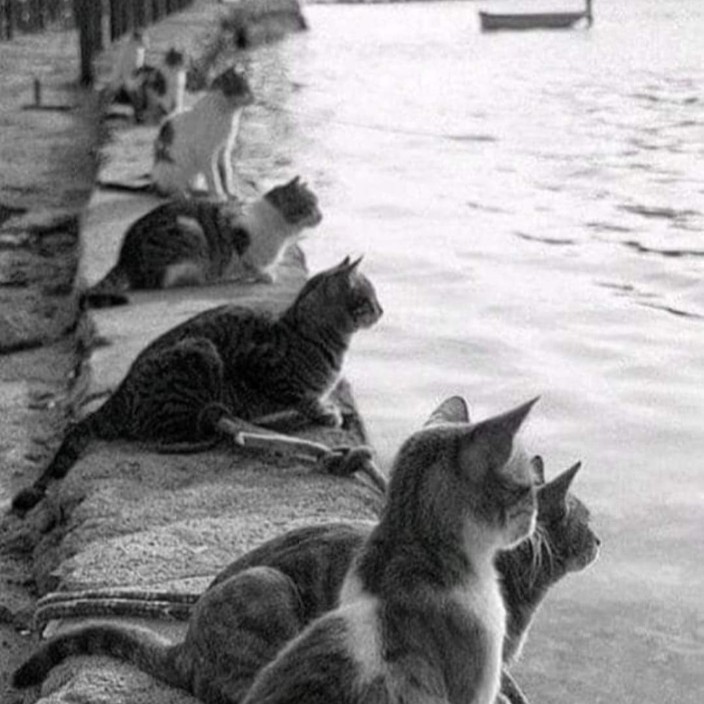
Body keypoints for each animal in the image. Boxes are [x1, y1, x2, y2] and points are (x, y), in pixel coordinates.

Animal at [11, 256, 383, 514]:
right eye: (369, 299)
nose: (381, 310)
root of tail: (119, 394)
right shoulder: (264, 370)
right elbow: (302, 398)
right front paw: (325, 412)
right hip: (199, 356)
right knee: (161, 433)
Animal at [84, 177, 323, 308]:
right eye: (311, 205)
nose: (322, 215)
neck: (283, 230)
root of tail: (125, 255)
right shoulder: (239, 236)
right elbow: (249, 262)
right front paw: (263, 275)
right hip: (189, 233)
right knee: (161, 281)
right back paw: (204, 278)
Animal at [151, 67, 254, 199]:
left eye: (249, 88)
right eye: (240, 89)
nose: (253, 97)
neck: (229, 113)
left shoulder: (224, 150)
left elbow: (226, 174)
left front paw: (230, 193)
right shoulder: (207, 153)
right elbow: (214, 177)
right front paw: (220, 195)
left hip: (194, 175)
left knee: (189, 186)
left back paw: (199, 192)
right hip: (172, 168)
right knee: (169, 190)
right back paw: (183, 194)